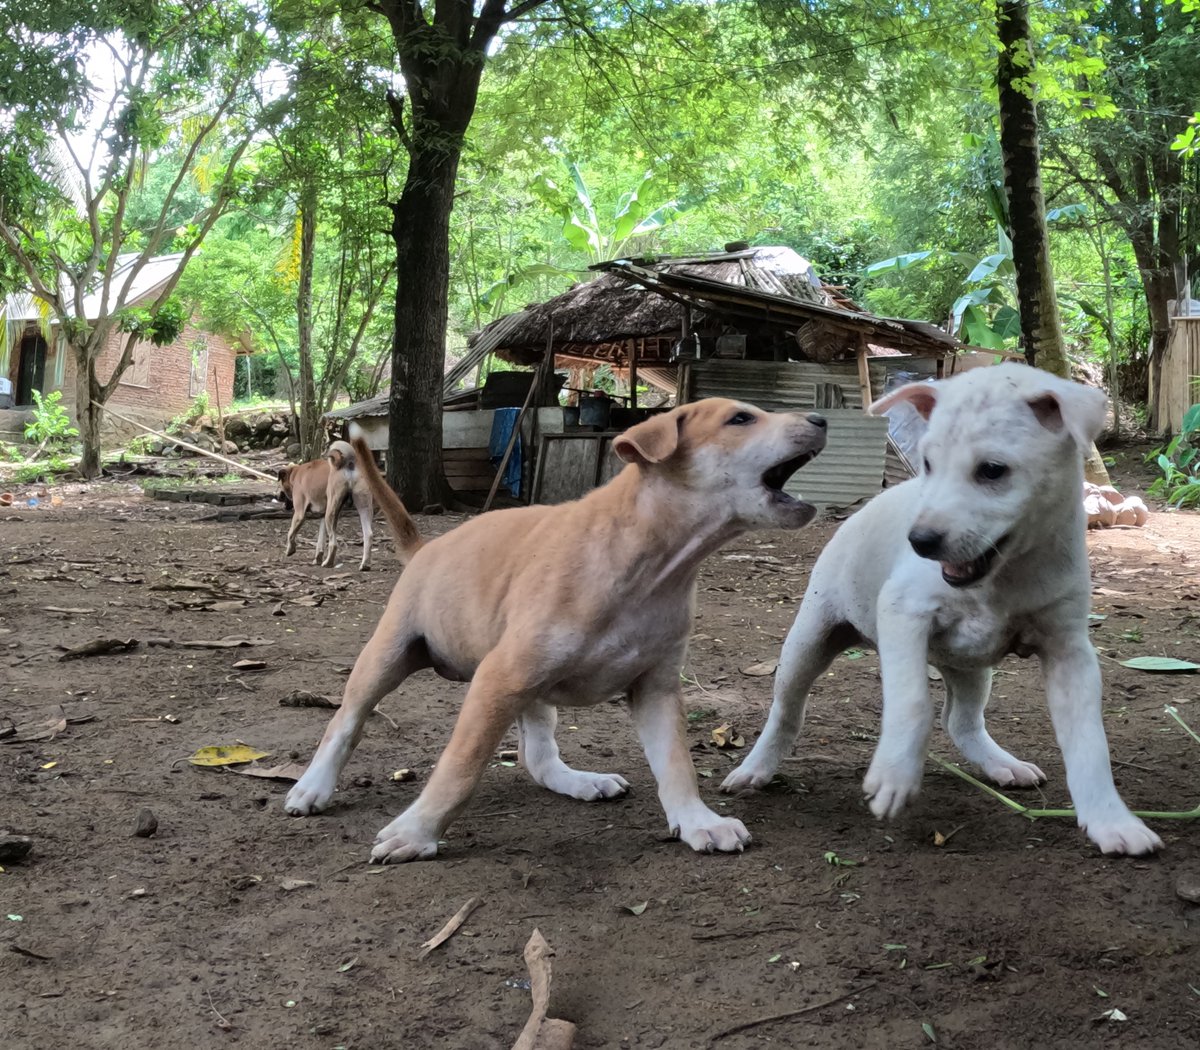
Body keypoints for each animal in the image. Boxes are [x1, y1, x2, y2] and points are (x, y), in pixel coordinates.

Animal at [278, 444, 372, 576]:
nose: (277, 496)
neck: (295, 474)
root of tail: (348, 464)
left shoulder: (299, 514)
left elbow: (290, 533)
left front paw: (290, 550)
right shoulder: (323, 515)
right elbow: (320, 540)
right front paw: (318, 557)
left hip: (331, 512)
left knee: (334, 543)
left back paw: (328, 563)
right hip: (362, 507)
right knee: (368, 534)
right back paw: (365, 565)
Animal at [720, 364, 1161, 859]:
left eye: (992, 470)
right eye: (928, 463)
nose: (921, 541)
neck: (1002, 578)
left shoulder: (1069, 651)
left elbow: (1089, 741)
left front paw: (1111, 821)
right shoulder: (903, 613)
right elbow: (913, 701)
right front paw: (893, 776)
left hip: (970, 668)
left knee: (961, 720)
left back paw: (1002, 764)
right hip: (809, 640)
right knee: (786, 710)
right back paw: (754, 770)